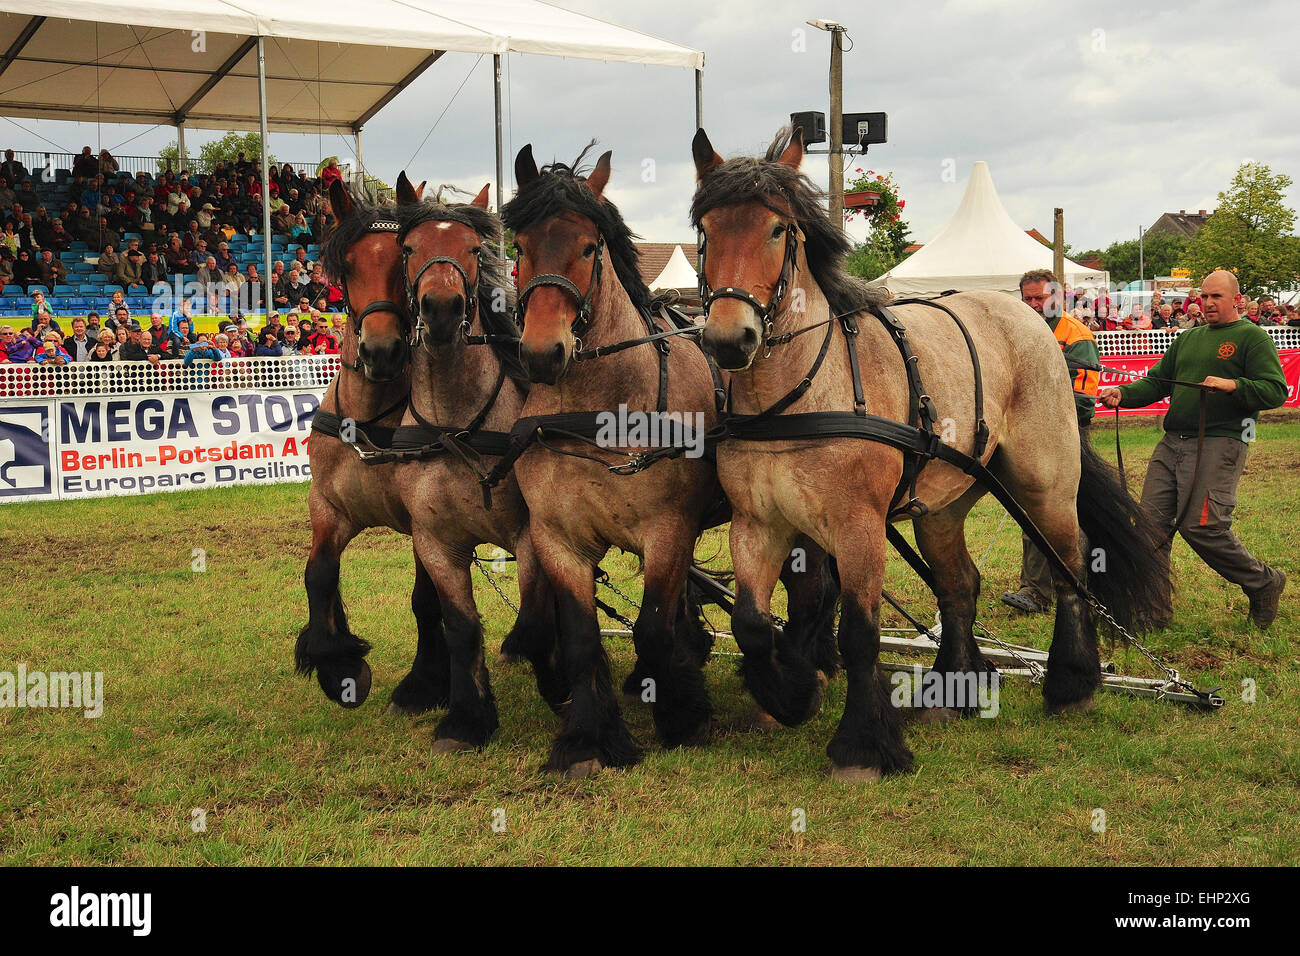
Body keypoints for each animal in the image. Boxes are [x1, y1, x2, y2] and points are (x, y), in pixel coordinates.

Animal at [395, 183, 569, 749]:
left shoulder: (530, 534)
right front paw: (469, 717)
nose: (442, 309)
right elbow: (462, 626)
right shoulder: (435, 542)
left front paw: (561, 688)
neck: (456, 428)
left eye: (473, 250)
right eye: (409, 248)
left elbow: (538, 619)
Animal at [501, 147, 837, 780]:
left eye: (589, 247)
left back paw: (810, 669)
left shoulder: (668, 531)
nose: (541, 353)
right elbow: (581, 638)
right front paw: (588, 739)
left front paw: (684, 715)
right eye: (521, 246)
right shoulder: (558, 537)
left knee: (815, 585)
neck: (598, 413)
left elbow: (654, 628)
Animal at [696, 127, 1175, 780]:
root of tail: (1033, 318)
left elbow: (860, 634)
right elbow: (749, 623)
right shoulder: (758, 522)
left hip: (1045, 484)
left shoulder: (858, 526)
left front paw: (862, 744)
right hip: (941, 504)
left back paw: (1071, 684)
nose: (729, 339)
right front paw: (789, 694)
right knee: (959, 585)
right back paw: (954, 688)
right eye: (705, 229)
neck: (797, 396)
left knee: (1069, 564)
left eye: (777, 229)